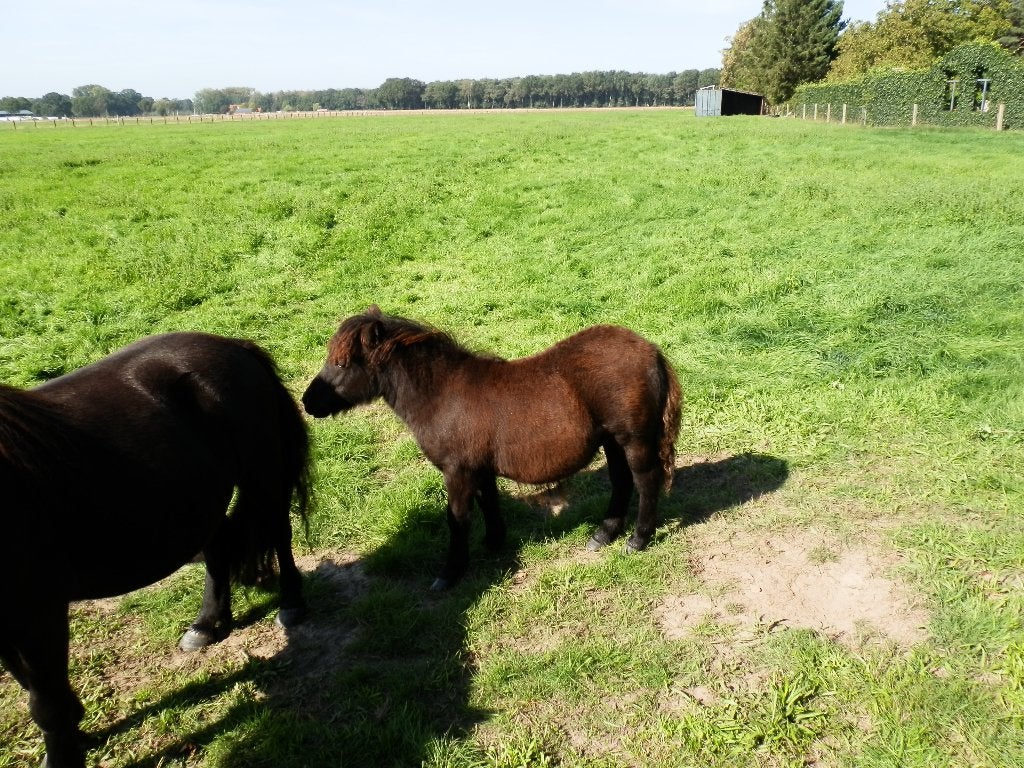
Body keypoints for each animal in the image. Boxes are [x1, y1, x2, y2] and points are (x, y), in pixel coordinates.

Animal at [0, 332, 311, 768]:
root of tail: (233, 344)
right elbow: (33, 688)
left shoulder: (38, 613)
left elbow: (46, 703)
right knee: (218, 549)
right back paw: (206, 625)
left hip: (262, 472)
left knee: (278, 531)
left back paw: (291, 602)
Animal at [303, 306, 681, 590]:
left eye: (341, 363)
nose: (308, 403)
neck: (441, 396)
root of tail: (651, 351)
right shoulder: (479, 470)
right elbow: (489, 504)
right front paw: (494, 544)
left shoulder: (457, 472)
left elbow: (458, 518)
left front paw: (450, 573)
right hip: (612, 441)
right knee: (622, 481)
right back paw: (603, 535)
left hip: (633, 439)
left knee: (646, 481)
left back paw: (638, 539)